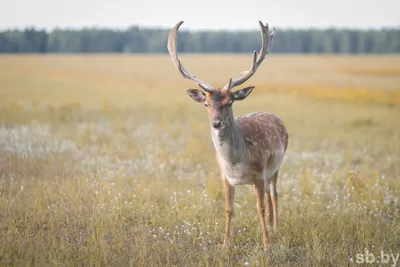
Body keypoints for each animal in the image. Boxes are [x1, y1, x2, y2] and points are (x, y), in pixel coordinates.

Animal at [167, 20, 290, 249]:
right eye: (206, 104)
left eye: (229, 102)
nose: (217, 123)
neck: (235, 162)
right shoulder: (225, 177)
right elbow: (228, 209)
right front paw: (225, 243)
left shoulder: (259, 174)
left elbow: (259, 208)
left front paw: (267, 244)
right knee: (271, 195)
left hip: (276, 165)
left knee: (274, 193)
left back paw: (276, 227)